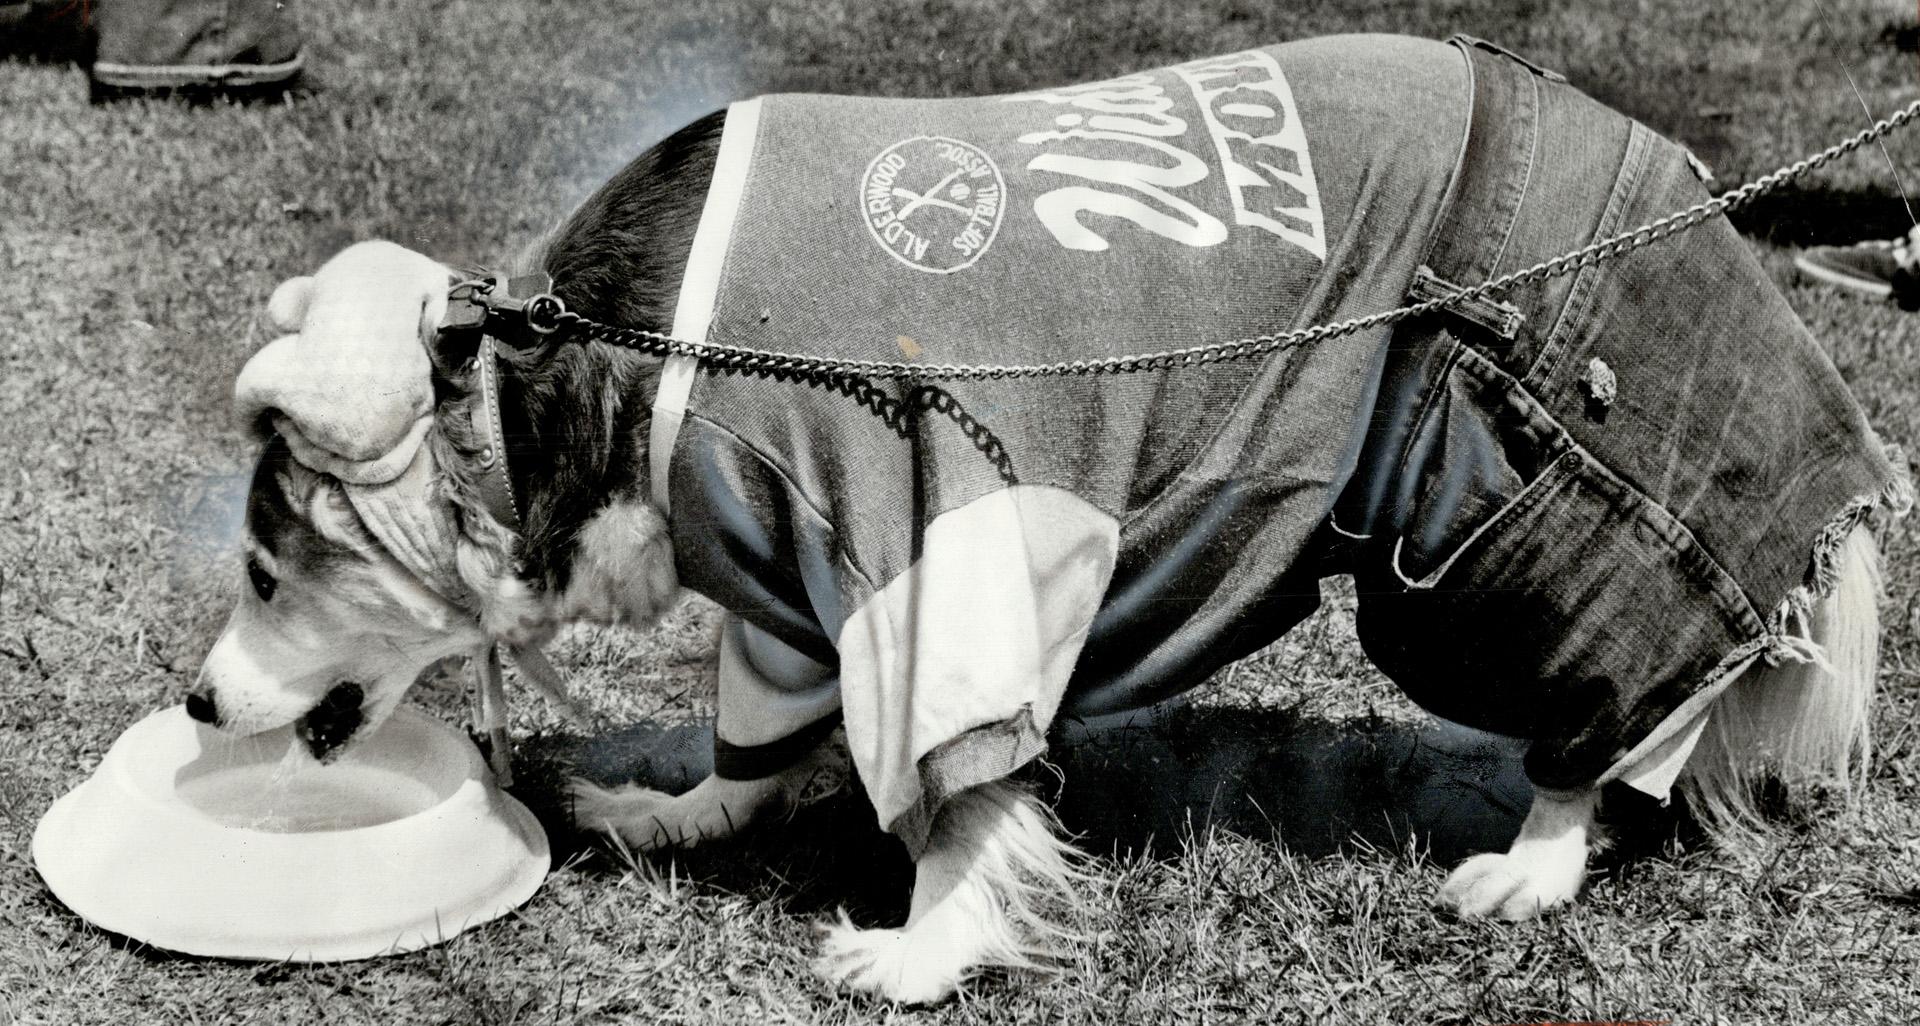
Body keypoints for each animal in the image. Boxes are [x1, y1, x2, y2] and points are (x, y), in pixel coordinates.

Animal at [191, 34, 1904, 1006]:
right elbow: (765, 724)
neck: (564, 381)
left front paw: (924, 947)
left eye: (272, 565)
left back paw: (1542, 851)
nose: (198, 700)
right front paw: (682, 809)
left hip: (1497, 484)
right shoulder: (796, 573)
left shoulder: (929, 517)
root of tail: (1681, 181)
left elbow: (963, 787)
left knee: (1627, 672)